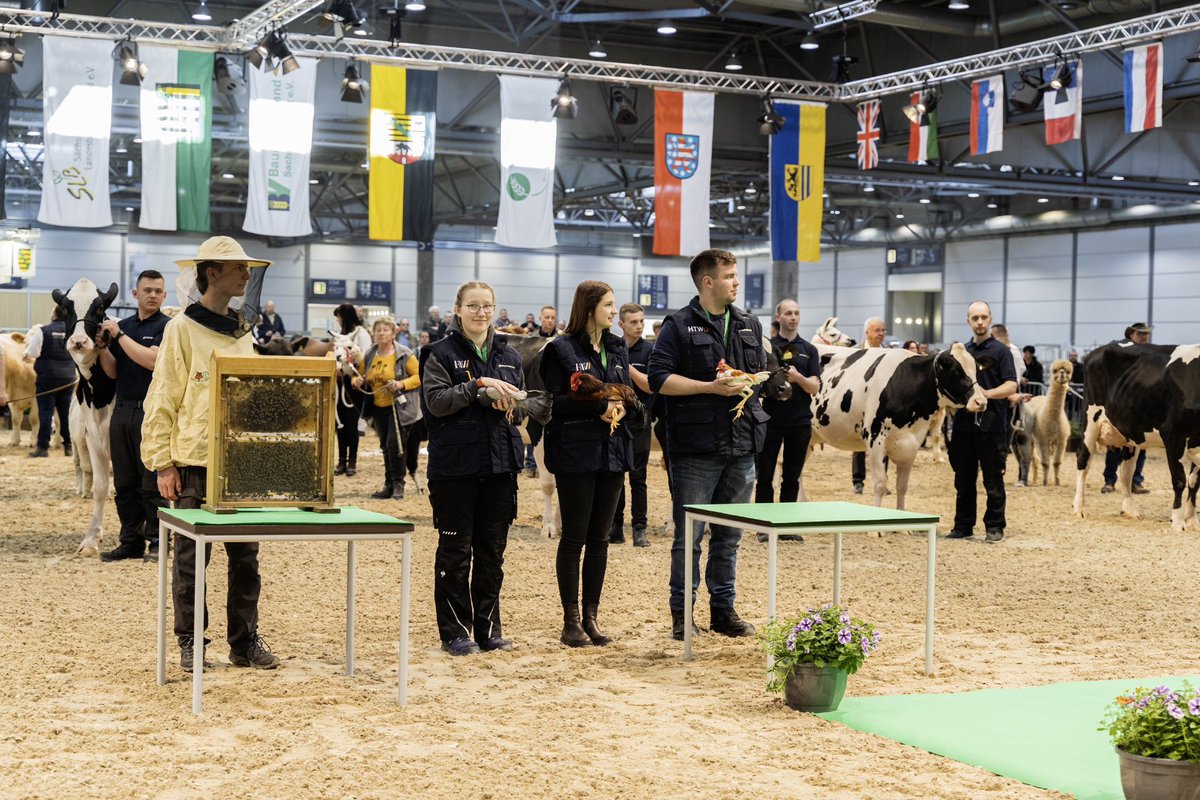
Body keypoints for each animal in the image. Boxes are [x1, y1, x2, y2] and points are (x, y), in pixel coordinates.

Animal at [806, 343, 984, 506]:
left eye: (976, 370)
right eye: (955, 370)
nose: (981, 401)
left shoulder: (912, 443)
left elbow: (902, 486)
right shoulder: (874, 439)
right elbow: (880, 485)